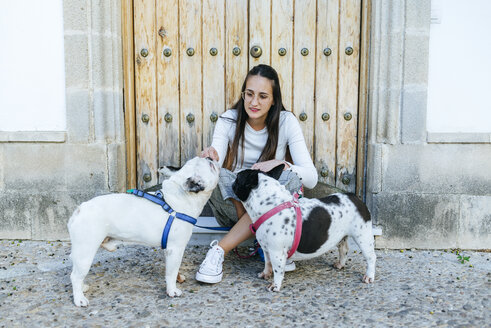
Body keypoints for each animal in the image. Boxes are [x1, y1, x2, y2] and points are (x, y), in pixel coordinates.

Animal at [67, 156, 219, 304]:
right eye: (211, 166)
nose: (211, 156)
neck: (182, 196)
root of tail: (80, 209)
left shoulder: (170, 250)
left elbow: (173, 269)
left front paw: (179, 278)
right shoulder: (175, 248)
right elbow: (171, 272)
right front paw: (172, 290)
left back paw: (82, 287)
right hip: (86, 251)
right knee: (75, 276)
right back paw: (79, 298)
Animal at [234, 165, 376, 290]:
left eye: (237, 178)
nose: (234, 177)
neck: (270, 205)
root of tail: (354, 197)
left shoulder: (277, 252)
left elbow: (278, 270)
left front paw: (275, 286)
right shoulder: (266, 249)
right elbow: (267, 263)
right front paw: (265, 274)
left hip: (363, 236)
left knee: (371, 257)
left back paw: (369, 276)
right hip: (342, 235)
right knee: (344, 249)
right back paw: (340, 264)